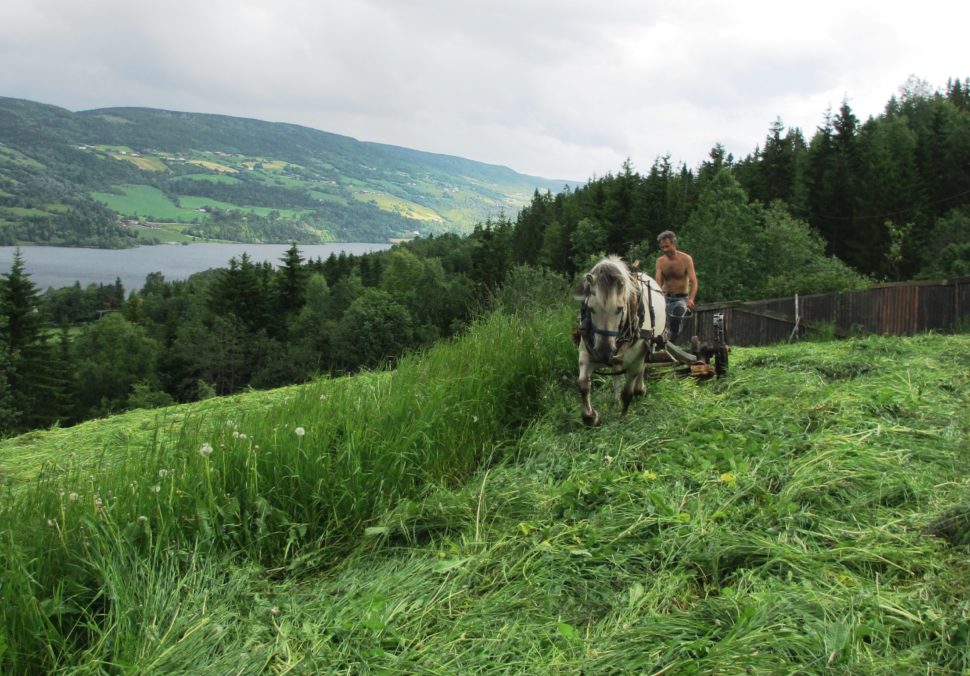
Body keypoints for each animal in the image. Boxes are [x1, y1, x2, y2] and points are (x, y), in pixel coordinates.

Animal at [576, 256, 664, 426]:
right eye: (590, 308)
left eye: (619, 309)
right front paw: (591, 417)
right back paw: (615, 400)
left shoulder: (636, 360)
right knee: (616, 372)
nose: (603, 353)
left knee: (643, 367)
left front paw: (623, 417)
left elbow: (628, 391)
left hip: (647, 347)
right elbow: (583, 384)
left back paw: (640, 390)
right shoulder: (586, 352)